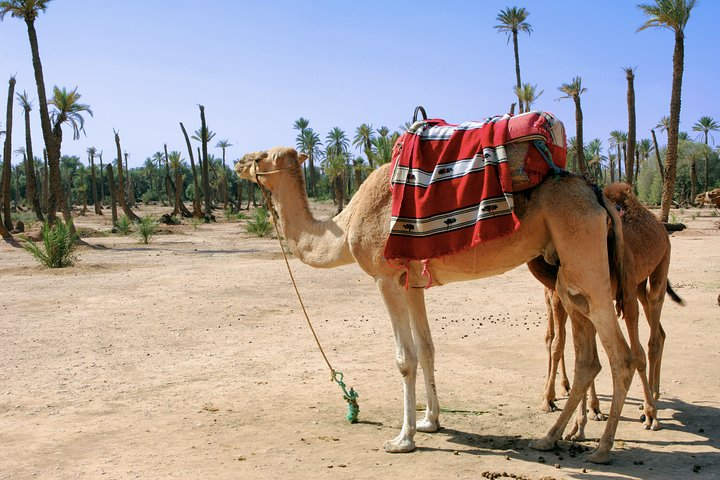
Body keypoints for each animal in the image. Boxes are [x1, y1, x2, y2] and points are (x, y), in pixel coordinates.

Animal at [236, 144, 637, 464]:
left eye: (260, 156)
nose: (238, 162)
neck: (346, 226)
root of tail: (597, 194)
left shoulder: (386, 278)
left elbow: (405, 358)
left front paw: (403, 438)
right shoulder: (412, 283)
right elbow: (427, 348)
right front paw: (430, 421)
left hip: (584, 256)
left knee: (622, 356)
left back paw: (601, 449)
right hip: (567, 273)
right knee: (589, 358)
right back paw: (550, 438)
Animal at [529, 182, 682, 438]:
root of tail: (660, 225)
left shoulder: (612, 292)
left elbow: (630, 353)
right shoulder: (574, 297)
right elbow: (571, 347)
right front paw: (579, 422)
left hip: (659, 268)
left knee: (652, 337)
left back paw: (651, 408)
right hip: (637, 286)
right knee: (658, 332)